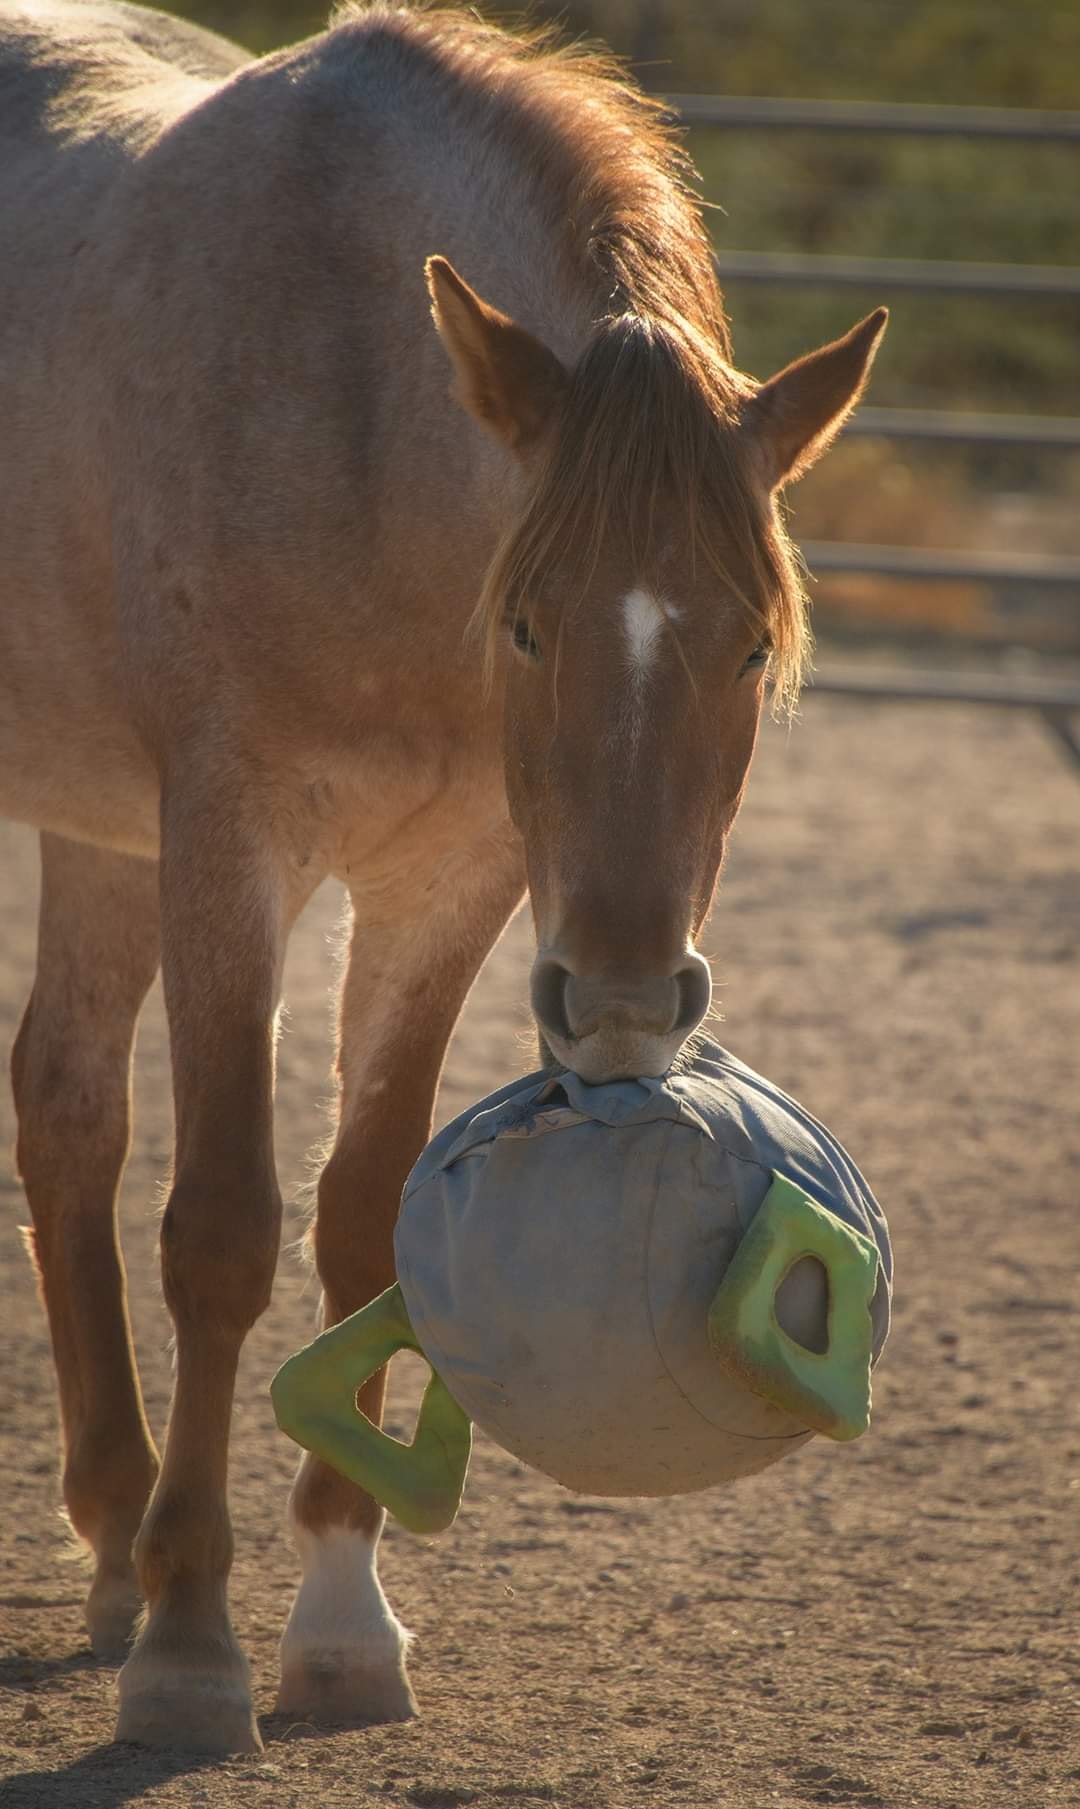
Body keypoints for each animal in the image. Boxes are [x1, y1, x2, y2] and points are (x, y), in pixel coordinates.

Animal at [0, 0, 886, 1755]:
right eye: (530, 623)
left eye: (755, 644)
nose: (625, 1003)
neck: (350, 414)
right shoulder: (230, 843)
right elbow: (222, 1225)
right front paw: (193, 1646)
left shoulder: (451, 880)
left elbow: (361, 1222)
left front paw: (341, 1625)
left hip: (98, 832)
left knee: (65, 1106)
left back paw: (113, 1531)